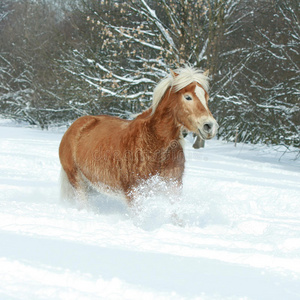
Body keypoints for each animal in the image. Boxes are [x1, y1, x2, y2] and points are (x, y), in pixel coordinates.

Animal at [58, 66, 218, 205]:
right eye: (188, 97)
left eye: (206, 97)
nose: (210, 126)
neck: (154, 144)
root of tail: (75, 125)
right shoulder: (134, 194)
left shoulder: (173, 188)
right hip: (77, 182)